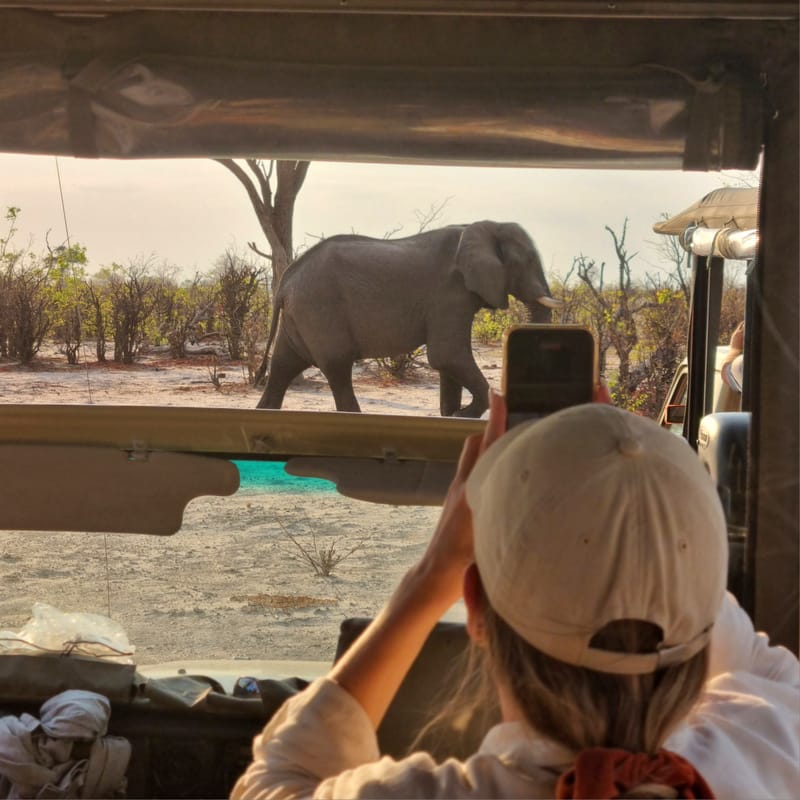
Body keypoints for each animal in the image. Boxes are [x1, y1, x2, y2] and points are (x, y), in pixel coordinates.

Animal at [255, 221, 559, 417]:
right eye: (529, 261)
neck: (483, 226)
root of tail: (285, 282)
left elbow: (448, 361)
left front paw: (452, 414)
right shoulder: (449, 294)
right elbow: (447, 355)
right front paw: (463, 414)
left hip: (299, 315)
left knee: (283, 365)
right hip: (318, 308)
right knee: (337, 366)